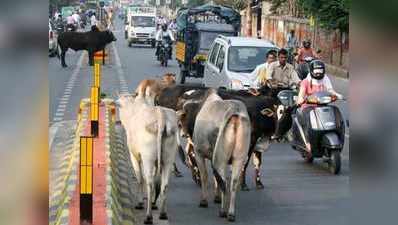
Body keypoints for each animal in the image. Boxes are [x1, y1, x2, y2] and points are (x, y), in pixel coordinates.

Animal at [116, 92, 179, 224]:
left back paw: (148, 216)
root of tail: (161, 116)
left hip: (148, 158)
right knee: (164, 184)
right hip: (168, 159)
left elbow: (140, 178)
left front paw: (140, 202)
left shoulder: (135, 156)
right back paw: (162, 213)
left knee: (149, 182)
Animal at [178, 88, 250, 221]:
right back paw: (231, 213)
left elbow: (205, 176)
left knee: (224, 182)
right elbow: (215, 176)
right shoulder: (213, 157)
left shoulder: (199, 153)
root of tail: (235, 111)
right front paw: (217, 197)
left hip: (220, 158)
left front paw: (204, 200)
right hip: (238, 158)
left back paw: (223, 211)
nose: (184, 134)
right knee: (233, 183)